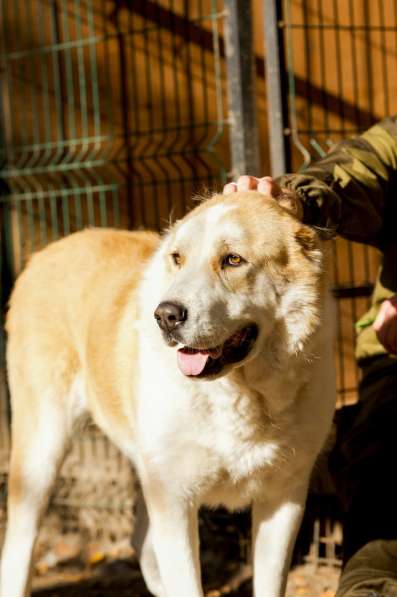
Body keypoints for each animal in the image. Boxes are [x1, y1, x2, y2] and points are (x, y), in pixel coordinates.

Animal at [0, 191, 334, 596]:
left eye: (233, 259)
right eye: (178, 258)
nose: (166, 316)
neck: (240, 395)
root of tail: (46, 252)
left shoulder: (283, 499)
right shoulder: (174, 498)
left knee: (141, 540)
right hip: (41, 455)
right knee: (17, 548)